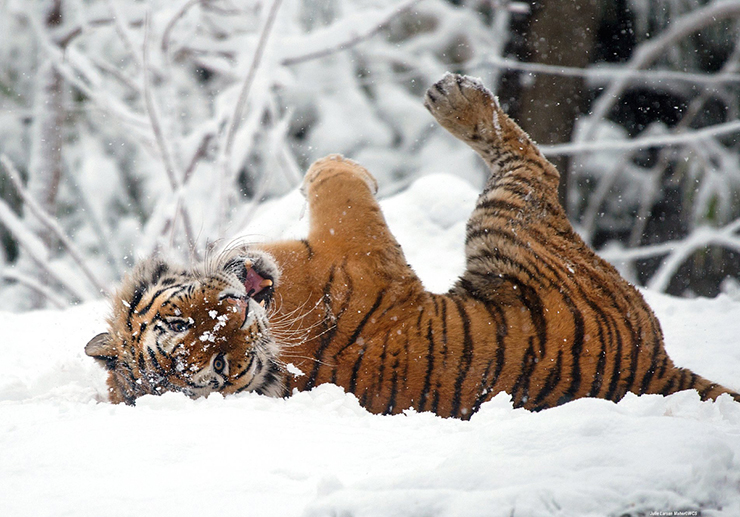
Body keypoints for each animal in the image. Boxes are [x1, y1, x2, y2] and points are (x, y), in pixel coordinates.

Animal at [84, 74, 736, 418]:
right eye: (215, 367)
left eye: (182, 322)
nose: (237, 312)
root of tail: (658, 368)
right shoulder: (364, 247)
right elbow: (338, 185)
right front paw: (343, 164)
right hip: (510, 230)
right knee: (532, 165)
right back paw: (456, 99)